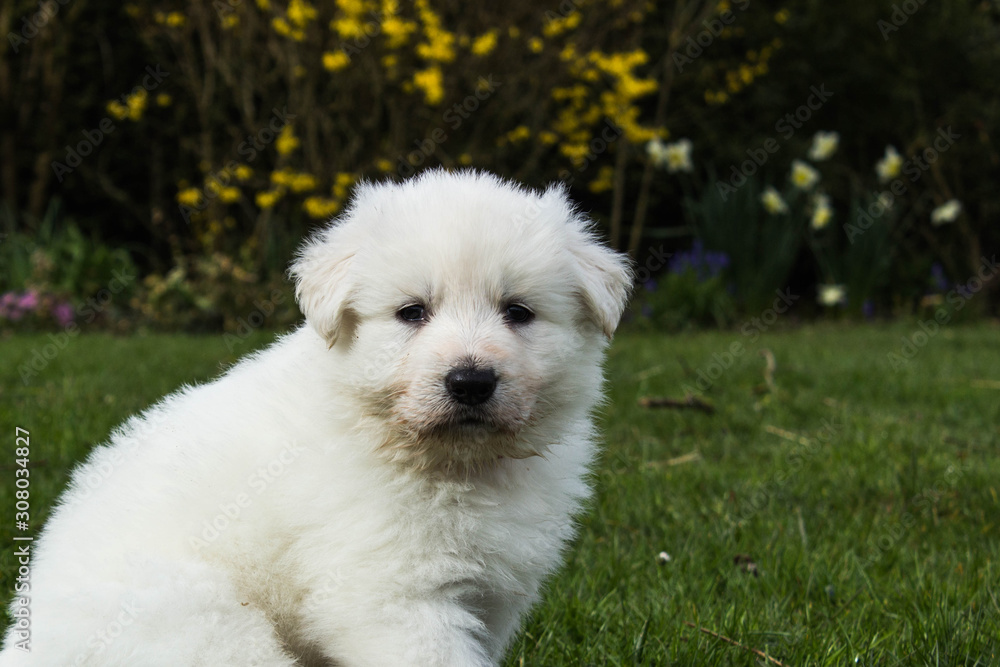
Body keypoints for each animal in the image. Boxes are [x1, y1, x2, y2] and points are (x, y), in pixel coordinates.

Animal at [0, 171, 628, 667]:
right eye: (411, 312)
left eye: (518, 312)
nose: (470, 382)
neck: (448, 465)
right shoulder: (391, 594)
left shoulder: (490, 594)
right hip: (203, 624)